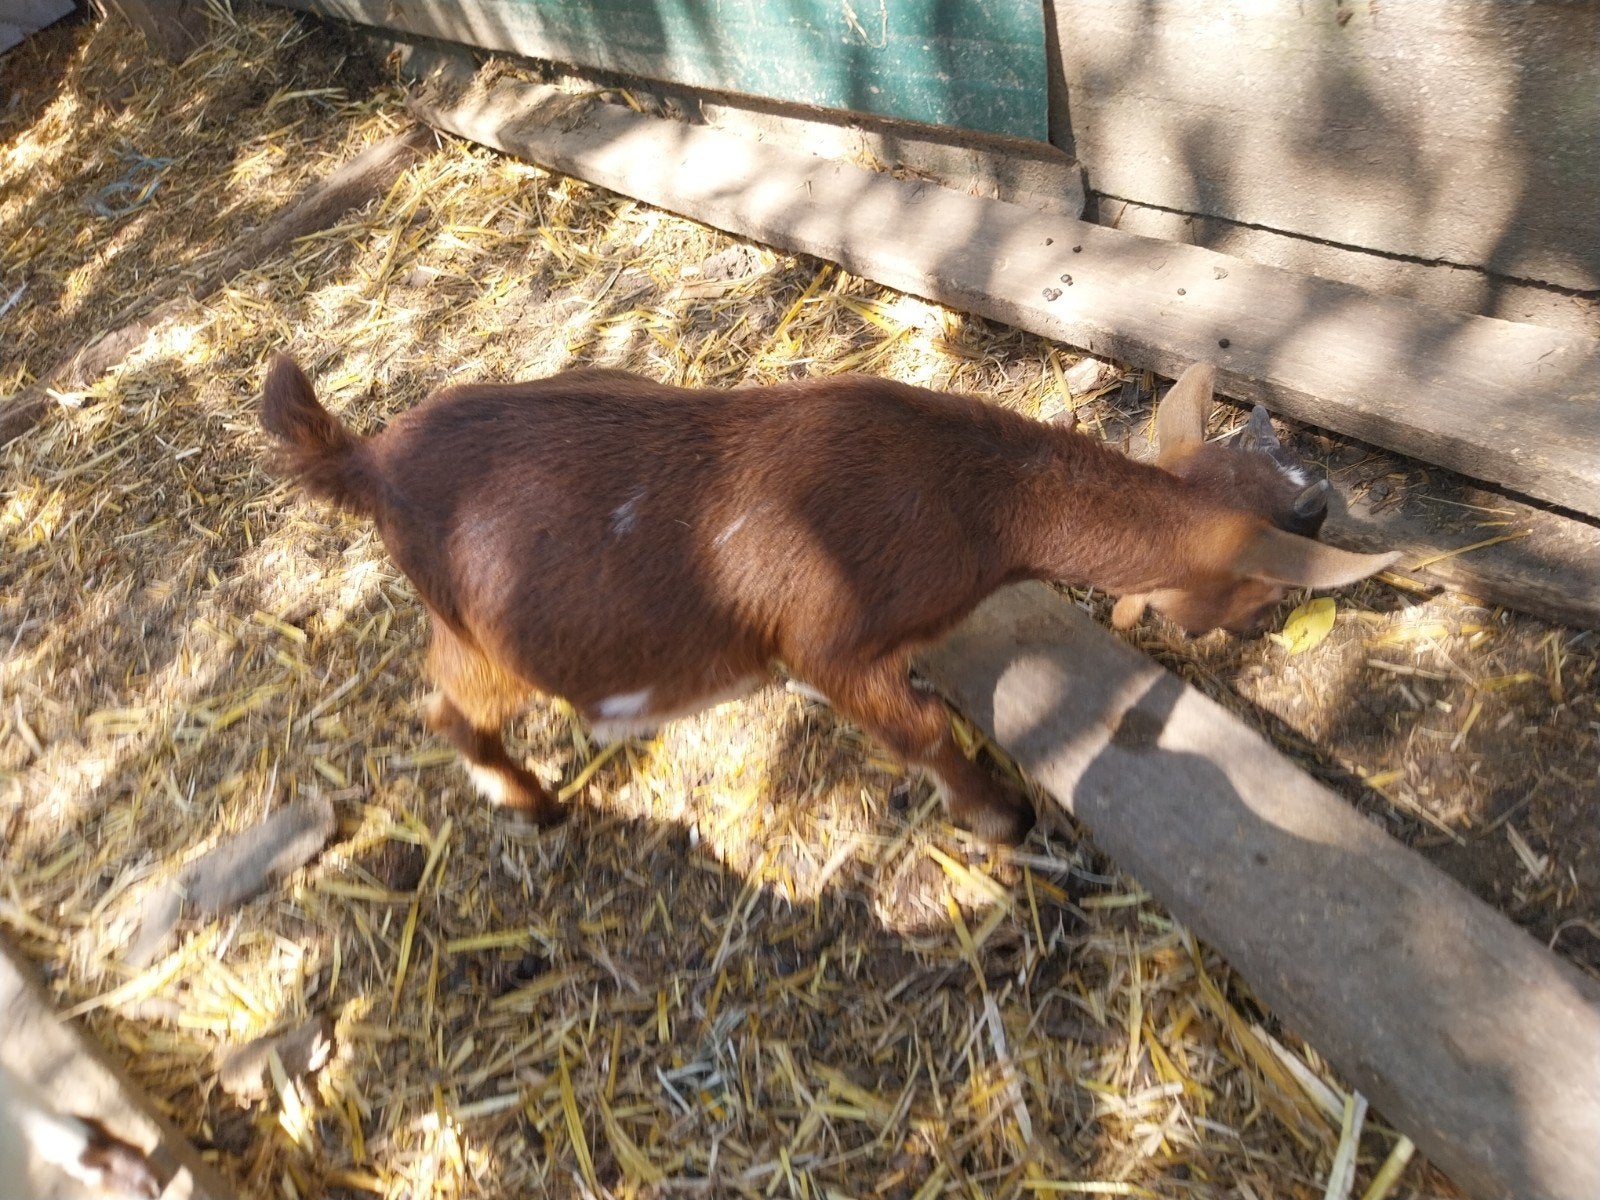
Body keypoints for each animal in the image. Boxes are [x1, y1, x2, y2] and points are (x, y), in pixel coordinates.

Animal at [262, 355, 1395, 844]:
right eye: (1262, 588)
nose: (1248, 637)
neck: (960, 497)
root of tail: (365, 460)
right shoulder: (828, 641)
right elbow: (922, 731)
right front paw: (1003, 820)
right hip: (482, 636)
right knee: (444, 706)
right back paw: (532, 803)